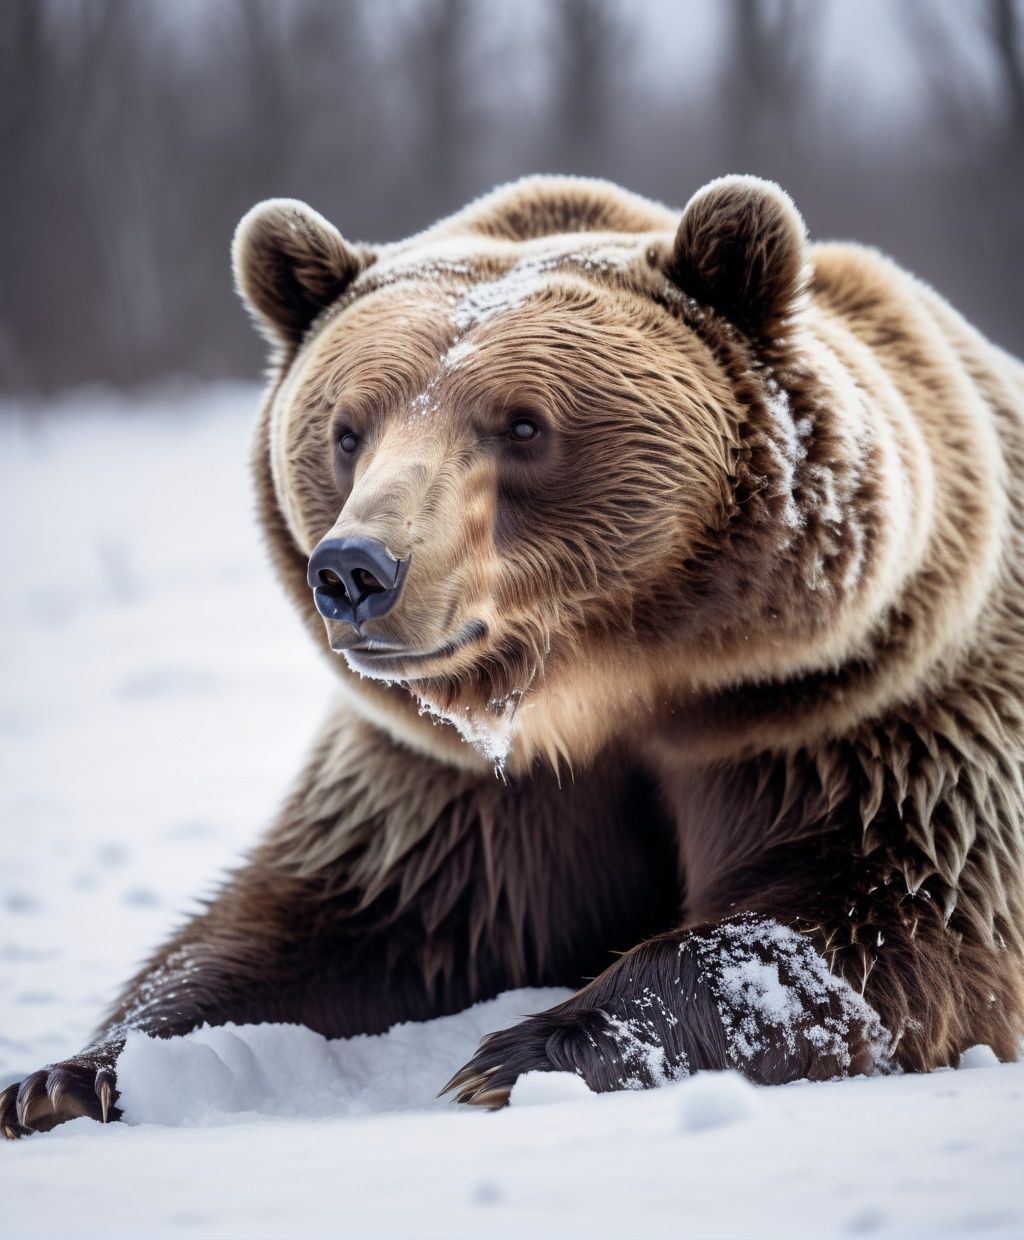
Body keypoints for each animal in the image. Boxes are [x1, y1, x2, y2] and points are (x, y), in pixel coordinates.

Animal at [3, 172, 1024, 1138]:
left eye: (524, 423)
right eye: (346, 430)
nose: (355, 569)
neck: (609, 685)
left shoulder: (855, 713)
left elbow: (890, 907)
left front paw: (525, 1051)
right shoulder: (448, 788)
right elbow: (325, 920)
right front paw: (67, 1078)